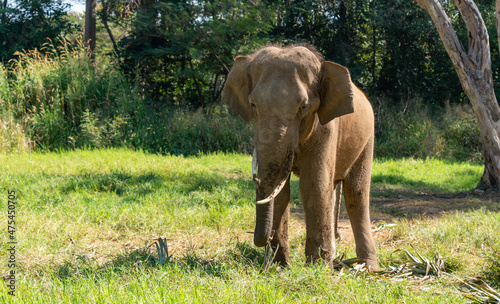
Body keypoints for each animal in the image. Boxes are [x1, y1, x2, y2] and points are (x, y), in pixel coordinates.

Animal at [223, 44, 378, 270]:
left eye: (303, 107)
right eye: (253, 105)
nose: (268, 237)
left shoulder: (326, 129)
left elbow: (313, 185)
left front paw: (317, 268)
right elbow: (281, 191)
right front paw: (280, 266)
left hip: (368, 139)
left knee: (356, 195)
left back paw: (368, 267)